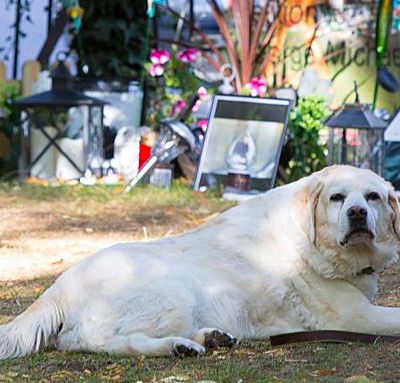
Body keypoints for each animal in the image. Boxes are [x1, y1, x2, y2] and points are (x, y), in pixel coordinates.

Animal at [2, 166, 400, 360]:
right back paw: (179, 347)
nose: (357, 213)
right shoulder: (354, 317)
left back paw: (208, 338)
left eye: (372, 197)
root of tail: (58, 287)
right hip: (173, 294)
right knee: (96, 341)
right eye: (336, 198)